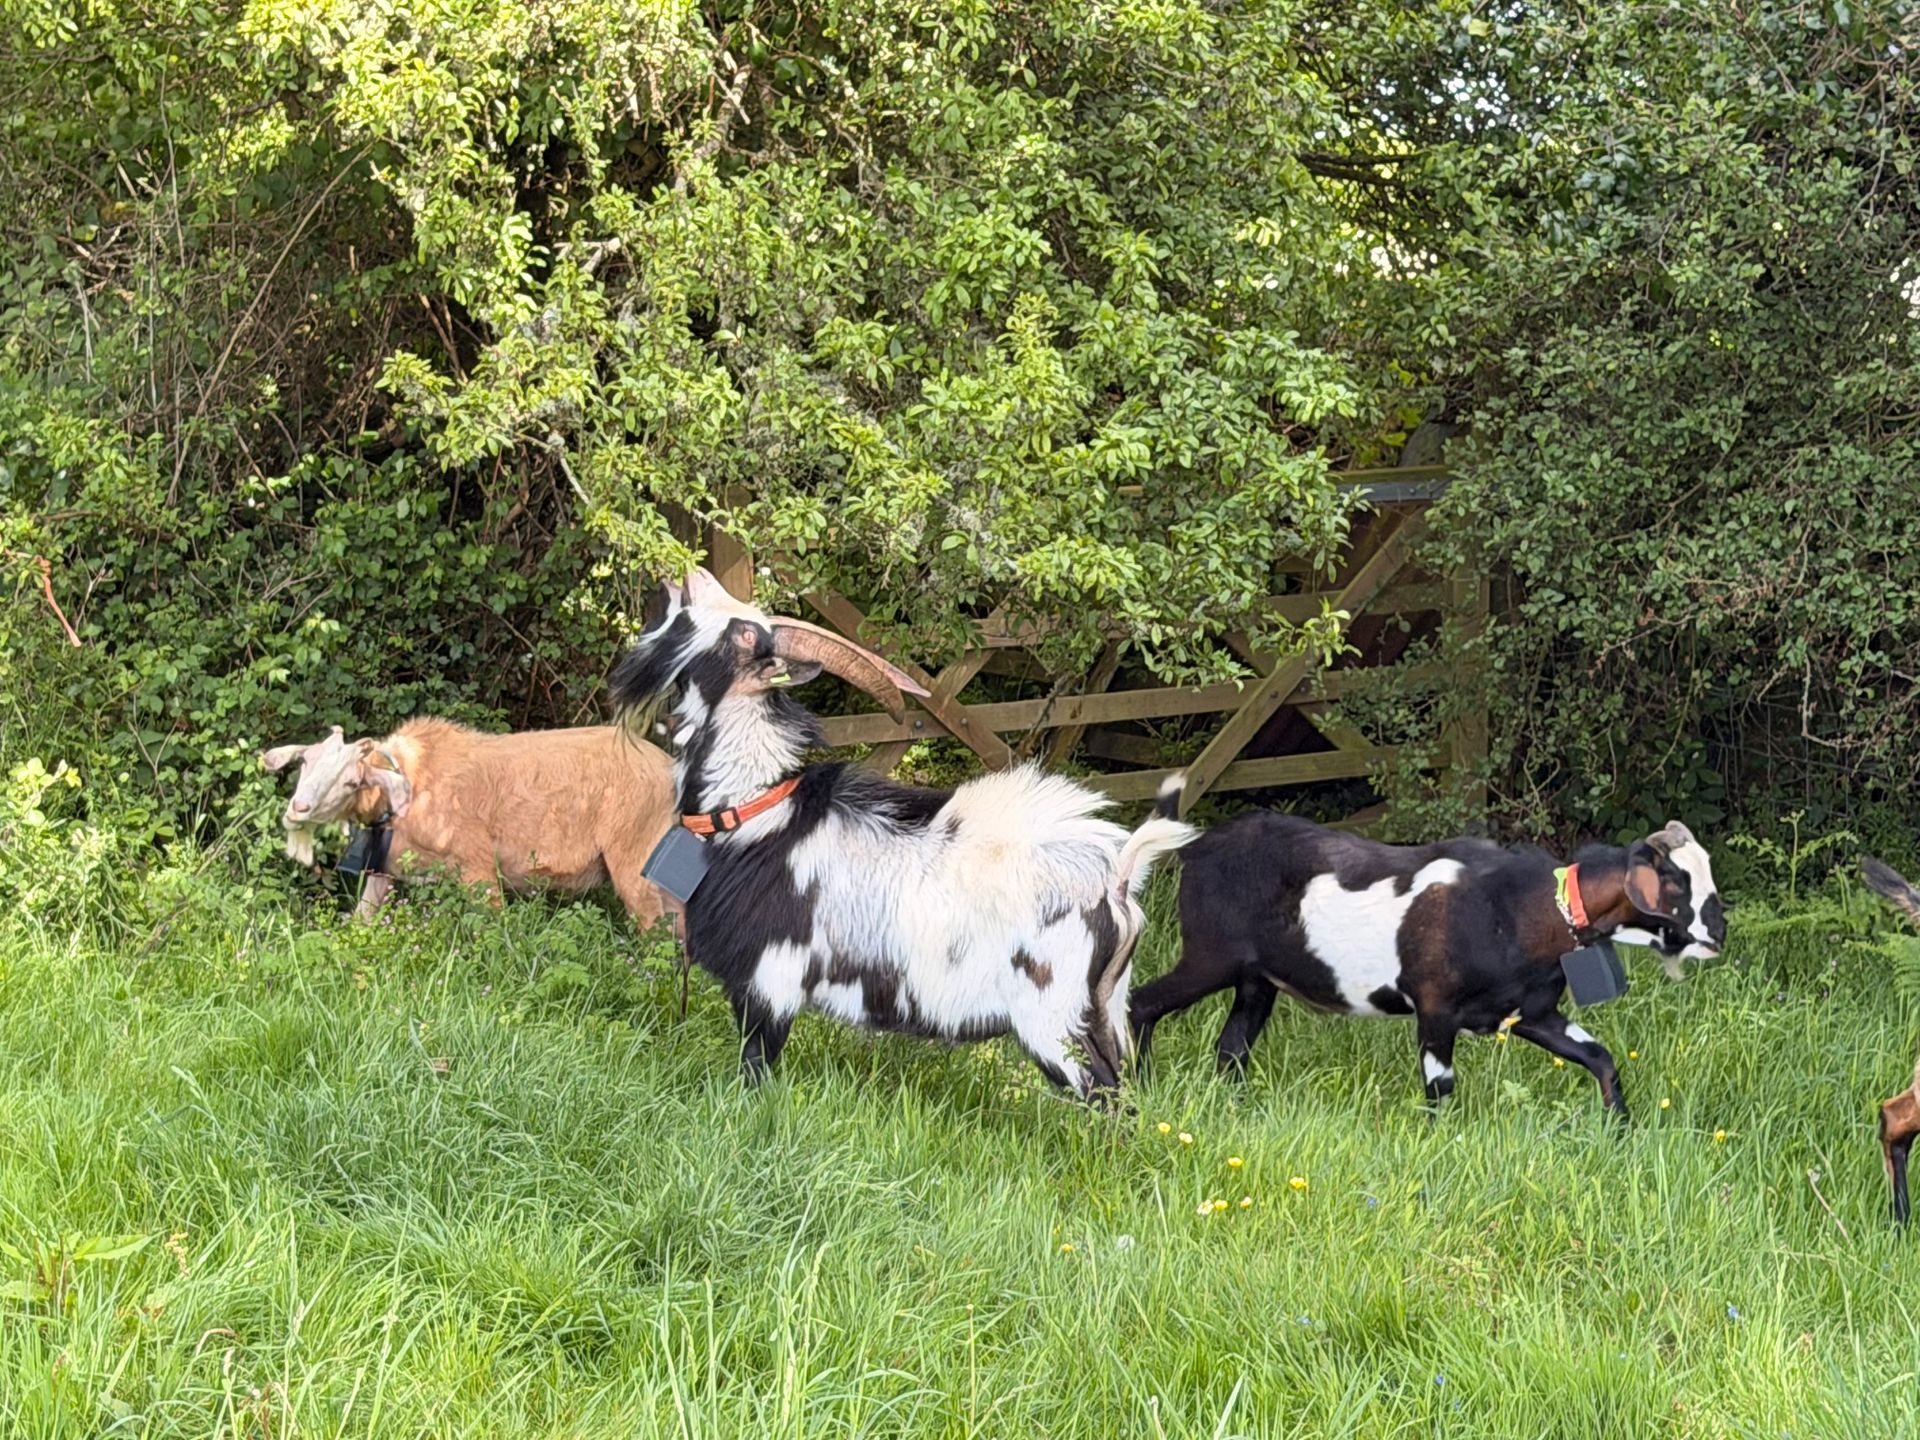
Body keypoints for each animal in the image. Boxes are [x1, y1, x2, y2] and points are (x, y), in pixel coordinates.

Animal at [260, 720, 677, 928]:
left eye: (351, 781)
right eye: (305, 763)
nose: (298, 808)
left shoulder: (478, 865)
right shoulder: (385, 868)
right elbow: (363, 919)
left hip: (635, 860)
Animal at [608, 567, 1195, 1095]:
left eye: (747, 633)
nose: (691, 574)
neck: (753, 811)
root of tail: (1118, 878)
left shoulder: (772, 979)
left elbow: (755, 1070)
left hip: (1053, 1017)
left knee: (1107, 1096)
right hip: (1102, 1006)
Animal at [1129, 814, 1726, 1116]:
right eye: (1676, 881)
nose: (1719, 931)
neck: (1519, 908)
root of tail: (1197, 848)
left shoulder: (1532, 1013)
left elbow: (1600, 1058)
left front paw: (1619, 1127)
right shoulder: (1436, 1007)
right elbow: (1440, 1088)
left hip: (1256, 979)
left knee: (1231, 1046)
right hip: (1211, 954)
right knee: (1141, 1004)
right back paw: (1137, 1086)